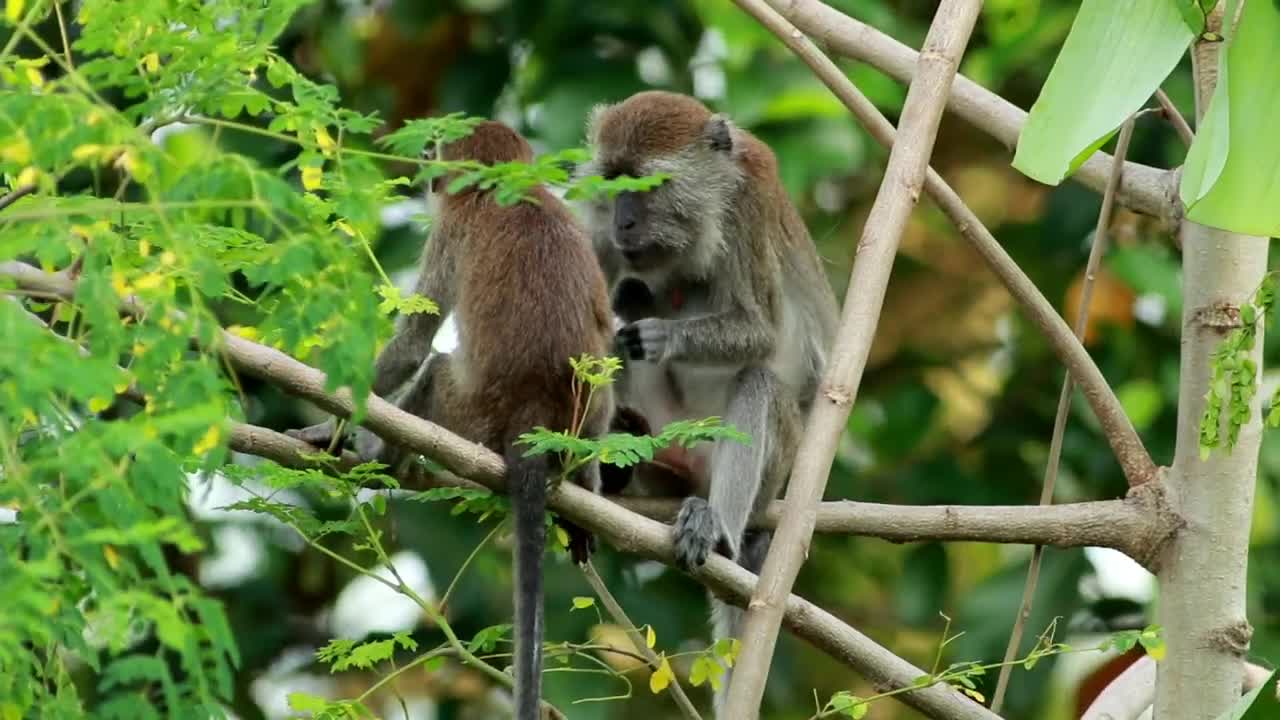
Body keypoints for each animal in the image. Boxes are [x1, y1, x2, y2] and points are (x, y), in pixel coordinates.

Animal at [290, 121, 614, 720]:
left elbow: (415, 343)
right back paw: (584, 487)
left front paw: (332, 425)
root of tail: (532, 415)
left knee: (437, 367)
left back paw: (379, 457)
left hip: (468, 409)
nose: (425, 172)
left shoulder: (451, 230)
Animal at [576, 90, 839, 713]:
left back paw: (716, 529)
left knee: (759, 385)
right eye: (614, 183)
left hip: (773, 463)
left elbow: (762, 334)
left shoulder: (748, 207)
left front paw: (663, 335)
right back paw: (617, 464)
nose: (623, 221)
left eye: (647, 186)